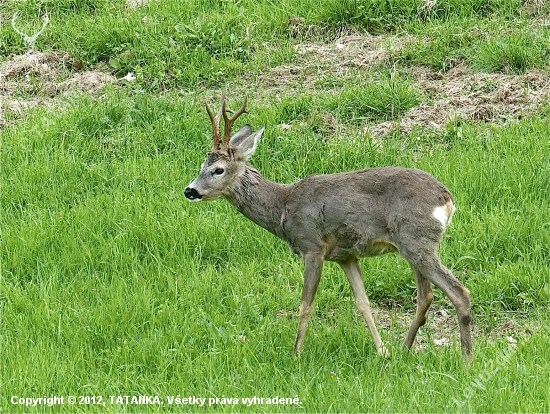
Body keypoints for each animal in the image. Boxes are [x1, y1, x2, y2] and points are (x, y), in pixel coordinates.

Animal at [187, 94, 474, 360]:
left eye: (218, 169)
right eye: (202, 165)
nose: (189, 190)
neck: (283, 206)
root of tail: (447, 199)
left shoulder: (312, 246)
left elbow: (305, 304)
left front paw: (296, 353)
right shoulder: (345, 255)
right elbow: (363, 302)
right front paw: (382, 351)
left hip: (417, 240)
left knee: (458, 292)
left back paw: (466, 359)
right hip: (412, 245)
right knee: (426, 296)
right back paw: (404, 350)